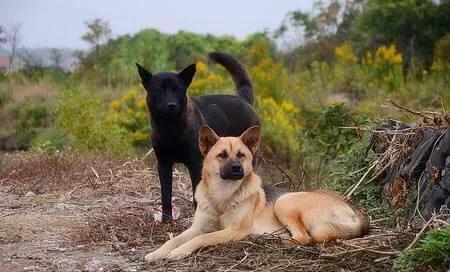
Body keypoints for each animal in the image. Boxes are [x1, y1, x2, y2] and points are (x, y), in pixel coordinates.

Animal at [135, 52, 258, 220]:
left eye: (177, 89)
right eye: (158, 89)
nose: (171, 105)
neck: (170, 130)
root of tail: (244, 100)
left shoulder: (195, 164)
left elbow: (195, 195)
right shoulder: (163, 164)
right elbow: (165, 194)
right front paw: (166, 219)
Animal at [145, 125, 370, 262]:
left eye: (241, 155)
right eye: (222, 155)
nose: (237, 168)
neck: (222, 196)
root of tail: (353, 208)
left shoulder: (232, 231)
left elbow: (201, 239)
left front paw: (179, 252)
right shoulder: (197, 227)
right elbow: (174, 239)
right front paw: (157, 252)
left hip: (284, 202)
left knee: (304, 237)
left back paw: (273, 239)